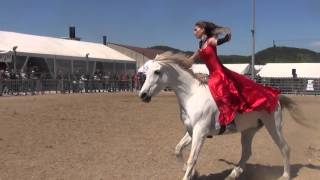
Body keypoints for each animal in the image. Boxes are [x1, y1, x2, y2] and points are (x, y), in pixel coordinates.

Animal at [138, 52, 304, 180]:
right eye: (145, 73)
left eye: (157, 72)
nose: (143, 95)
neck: (192, 95)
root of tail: (275, 95)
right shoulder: (192, 131)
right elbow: (178, 150)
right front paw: (192, 172)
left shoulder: (200, 132)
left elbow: (192, 158)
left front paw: (189, 173)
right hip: (248, 130)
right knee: (247, 153)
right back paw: (233, 174)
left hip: (273, 126)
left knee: (285, 148)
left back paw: (285, 175)